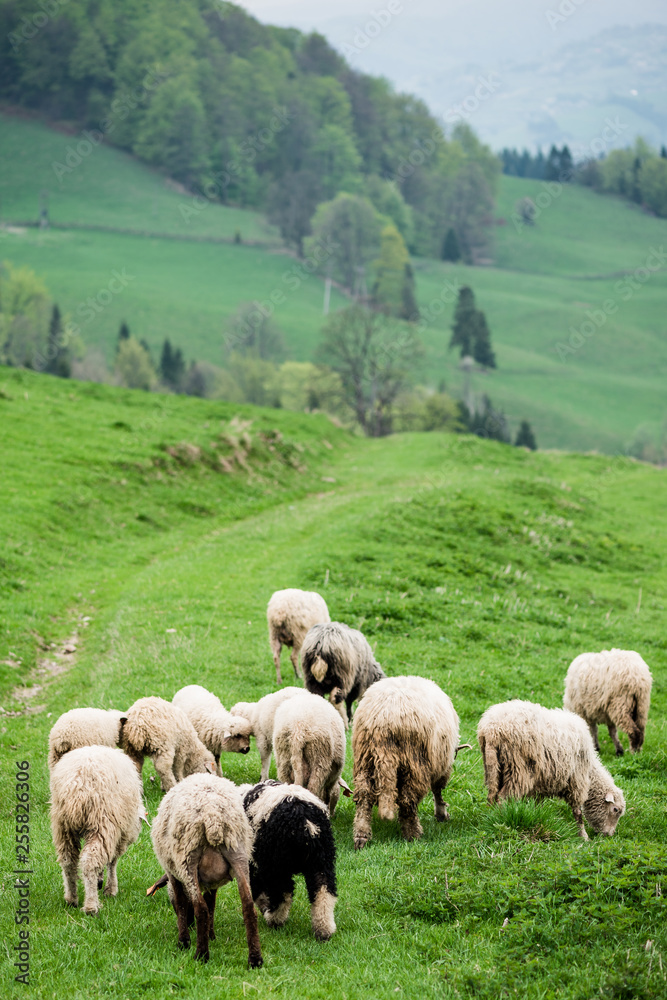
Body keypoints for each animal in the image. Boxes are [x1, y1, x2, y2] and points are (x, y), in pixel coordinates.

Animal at [50, 745, 147, 914]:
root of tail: (77, 784)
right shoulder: (119, 834)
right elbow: (112, 862)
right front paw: (110, 889)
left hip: (62, 826)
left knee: (68, 861)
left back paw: (71, 899)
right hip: (101, 823)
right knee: (90, 861)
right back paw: (91, 906)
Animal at [150, 773, 262, 968]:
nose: (190, 924)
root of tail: (213, 816)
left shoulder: (173, 873)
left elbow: (183, 903)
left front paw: (183, 941)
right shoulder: (213, 883)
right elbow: (211, 905)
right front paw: (211, 935)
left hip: (188, 859)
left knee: (200, 908)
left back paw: (201, 955)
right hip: (239, 853)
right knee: (248, 906)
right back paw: (255, 959)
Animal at [240, 780, 338, 940]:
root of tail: (304, 819)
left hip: (276, 861)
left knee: (283, 892)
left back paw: (274, 919)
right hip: (321, 859)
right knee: (323, 890)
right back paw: (324, 930)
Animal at [352, 675, 460, 849]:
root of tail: (382, 723)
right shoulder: (441, 766)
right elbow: (437, 790)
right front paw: (441, 814)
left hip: (364, 758)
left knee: (364, 796)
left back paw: (361, 835)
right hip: (414, 761)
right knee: (407, 800)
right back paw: (413, 834)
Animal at [477, 699, 626, 839]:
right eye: (615, 810)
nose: (609, 835)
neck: (590, 772)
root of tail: (492, 730)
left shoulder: (541, 783)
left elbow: (538, 804)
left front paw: (537, 818)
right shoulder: (577, 780)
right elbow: (577, 812)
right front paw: (583, 836)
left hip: (494, 768)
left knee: (492, 797)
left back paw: (491, 818)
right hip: (518, 769)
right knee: (503, 798)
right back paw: (502, 821)